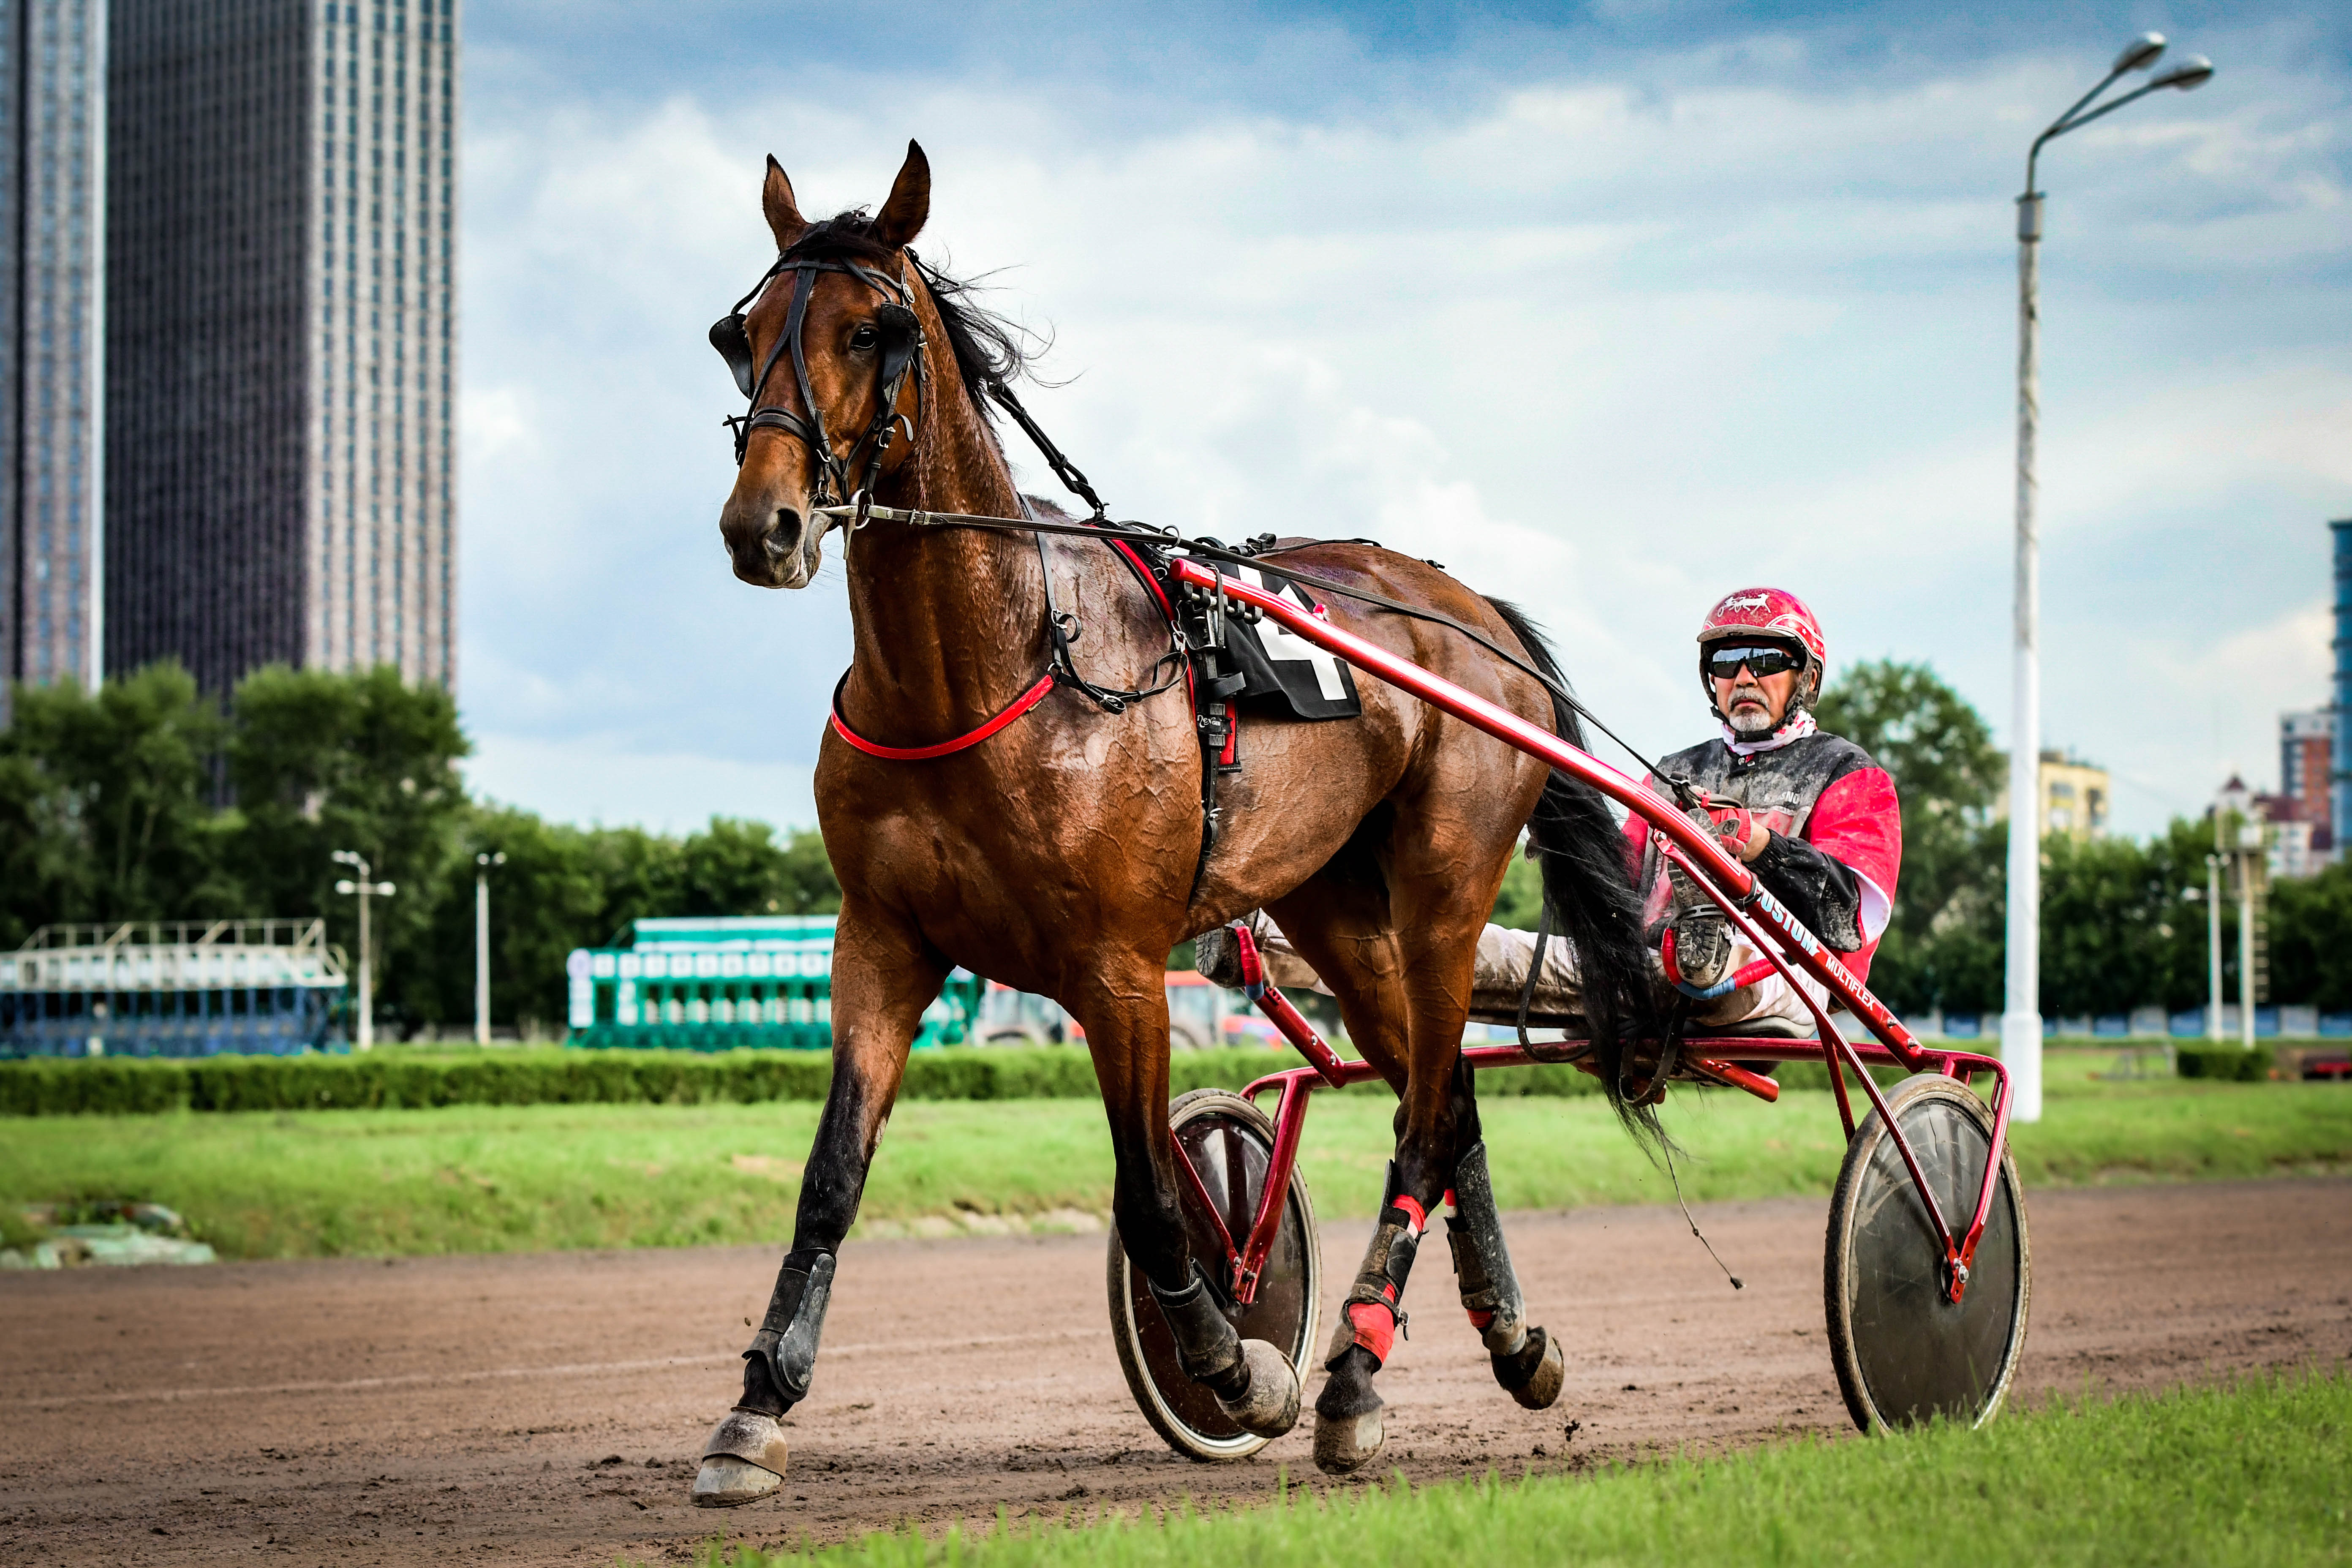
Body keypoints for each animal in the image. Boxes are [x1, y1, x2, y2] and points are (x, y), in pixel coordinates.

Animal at [686, 147, 1646, 1504]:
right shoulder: (880, 939)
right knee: (1446, 1099)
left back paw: (1349, 1381)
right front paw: (756, 1407)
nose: (759, 525)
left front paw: (1238, 1367)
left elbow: (1149, 1197)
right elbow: (829, 1180)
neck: (995, 666)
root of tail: (1471, 611)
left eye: (871, 330)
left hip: (1446, 885)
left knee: (1423, 1117)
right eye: (741, 334)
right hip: (1334, 904)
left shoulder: (1121, 969)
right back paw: (1505, 1343)